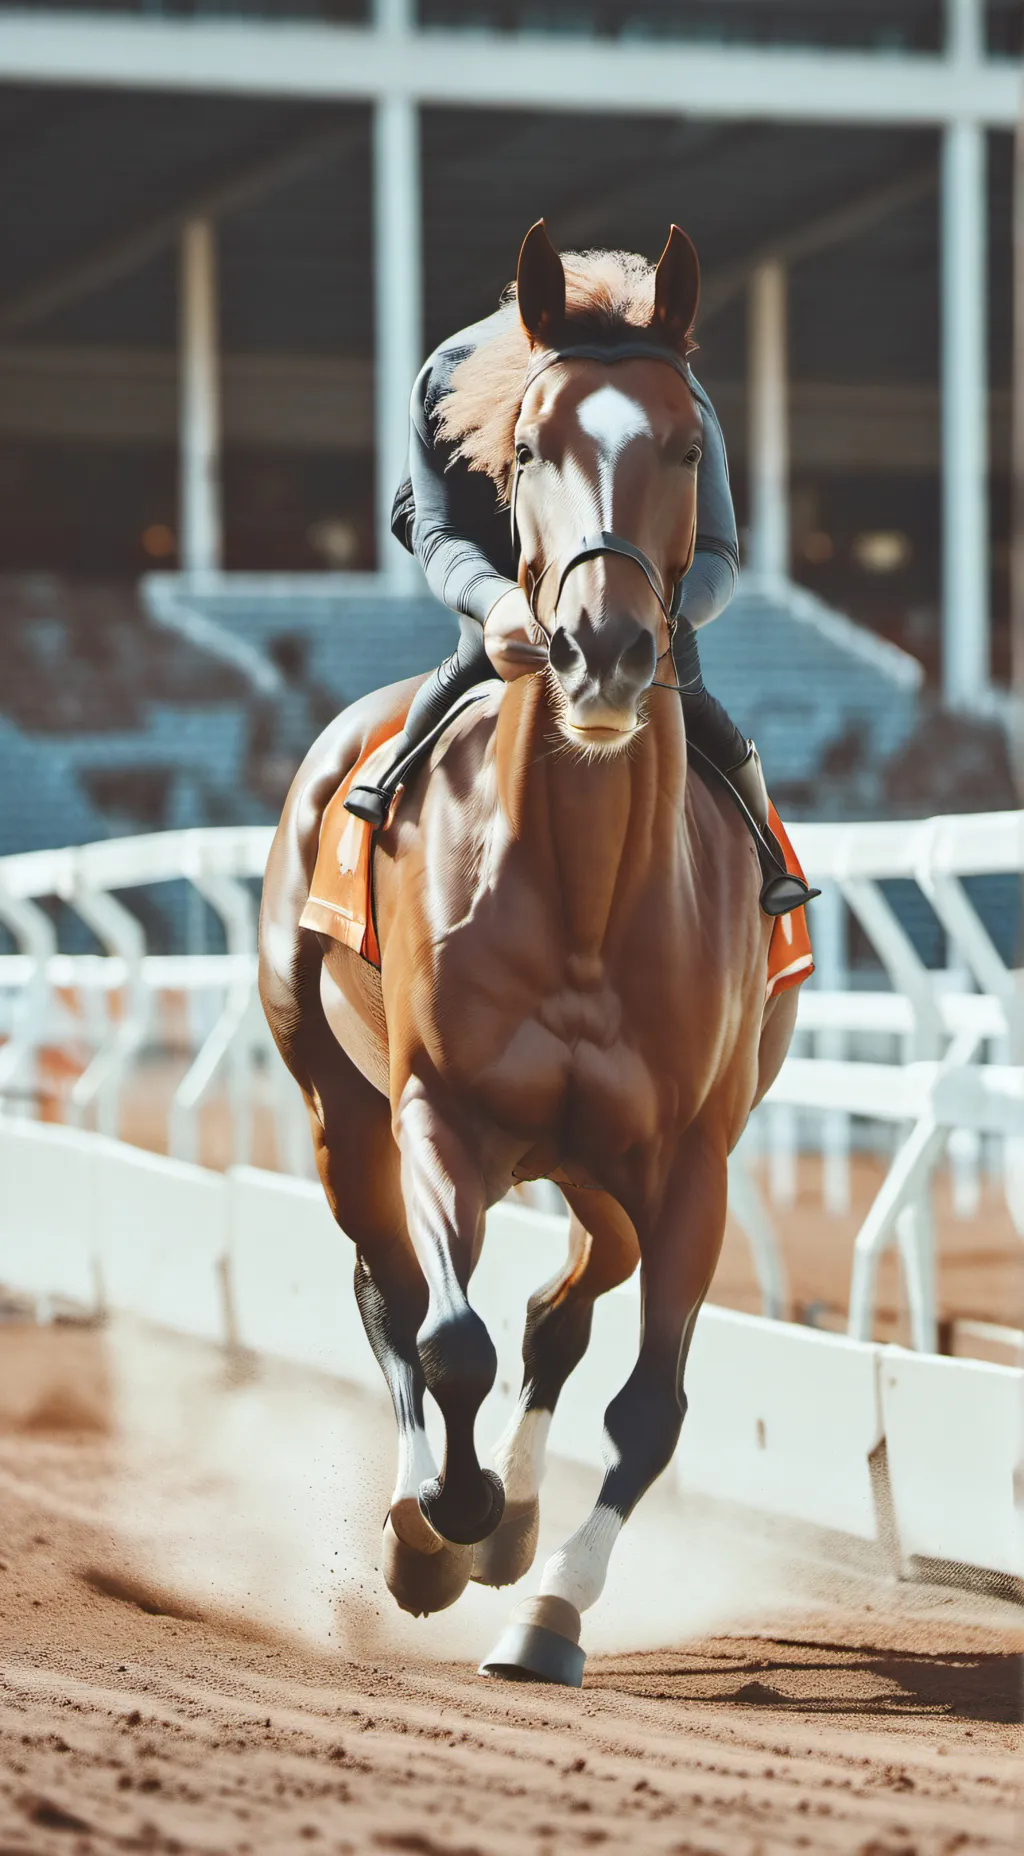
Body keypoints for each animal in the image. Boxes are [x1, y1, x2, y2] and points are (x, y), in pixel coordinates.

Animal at [259, 221, 800, 1686]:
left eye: (687, 444)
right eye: (529, 448)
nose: (603, 648)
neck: (590, 901)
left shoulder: (693, 1159)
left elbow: (650, 1405)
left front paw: (548, 1606)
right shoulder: (443, 1108)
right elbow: (448, 1336)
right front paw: (444, 1523)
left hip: (600, 1168)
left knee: (567, 1307)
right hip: (337, 1101)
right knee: (390, 1288)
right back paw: (429, 1511)